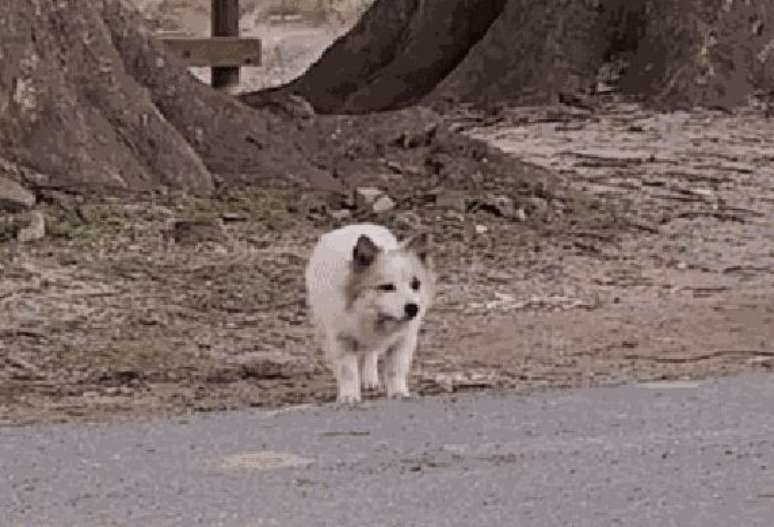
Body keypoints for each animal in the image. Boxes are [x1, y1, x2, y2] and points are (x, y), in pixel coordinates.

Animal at [304, 224, 436, 404]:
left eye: (415, 284)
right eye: (387, 287)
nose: (413, 308)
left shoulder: (404, 340)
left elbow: (395, 369)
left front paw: (399, 393)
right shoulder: (341, 339)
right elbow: (348, 371)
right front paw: (349, 396)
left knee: (371, 354)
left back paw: (369, 379)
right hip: (323, 330)